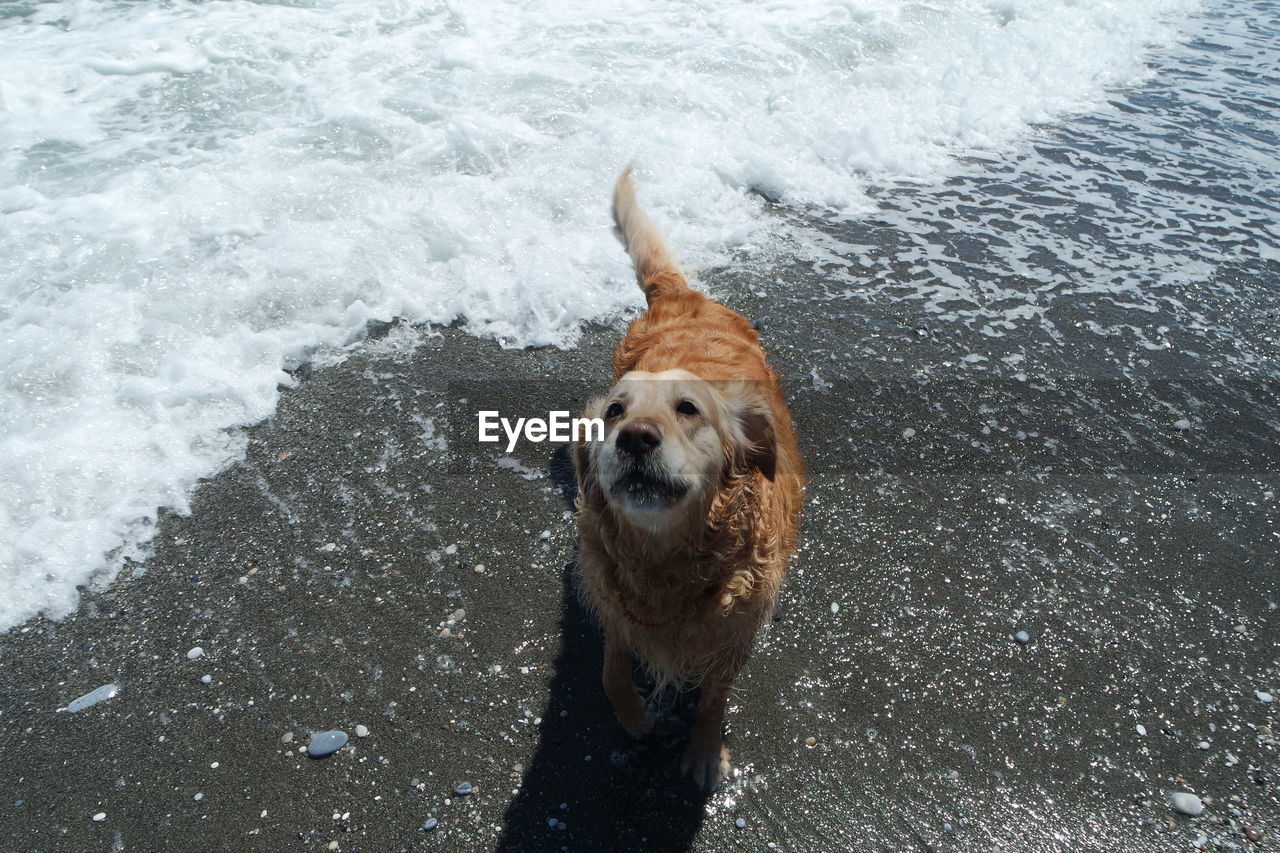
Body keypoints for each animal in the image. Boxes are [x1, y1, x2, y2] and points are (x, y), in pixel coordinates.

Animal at [576, 169, 803, 788]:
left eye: (688, 409)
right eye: (614, 412)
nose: (635, 438)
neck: (667, 559)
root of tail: (679, 294)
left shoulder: (736, 631)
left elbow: (714, 697)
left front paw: (704, 750)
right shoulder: (612, 595)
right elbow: (610, 669)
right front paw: (634, 718)